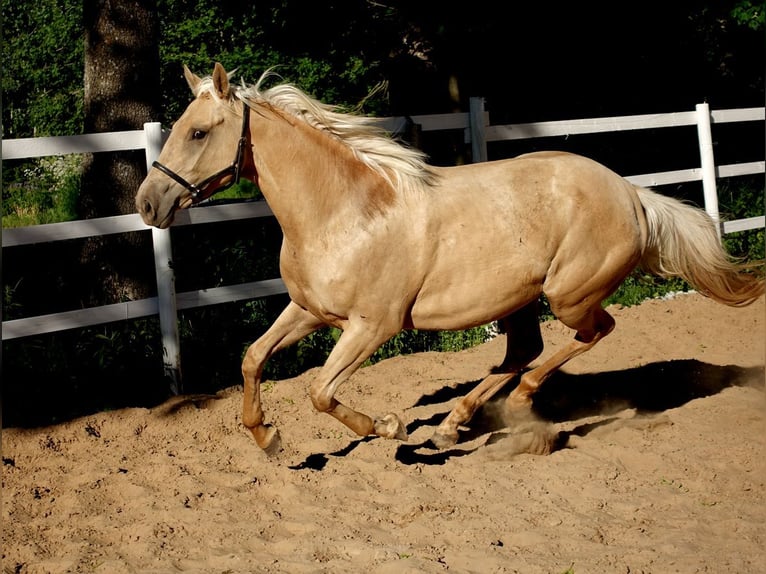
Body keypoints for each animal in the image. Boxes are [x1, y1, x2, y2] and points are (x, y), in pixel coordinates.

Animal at [135, 64, 764, 454]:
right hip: (519, 300)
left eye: (197, 132)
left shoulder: (373, 325)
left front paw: (387, 426)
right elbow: (252, 359)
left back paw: (515, 407)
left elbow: (320, 391)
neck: (346, 211)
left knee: (590, 335)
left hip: (569, 295)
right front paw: (268, 439)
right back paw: (453, 424)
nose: (147, 203)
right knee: (521, 352)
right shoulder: (309, 310)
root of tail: (632, 194)